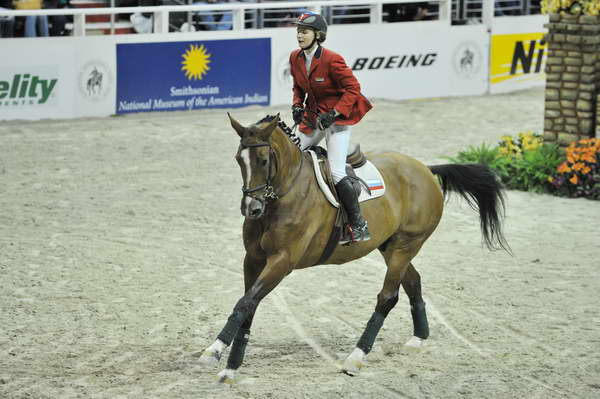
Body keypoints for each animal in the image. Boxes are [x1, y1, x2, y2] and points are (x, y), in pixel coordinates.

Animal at [199, 114, 508, 382]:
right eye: (239, 160)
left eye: (263, 161)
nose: (252, 208)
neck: (285, 192)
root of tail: (425, 170)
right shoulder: (252, 259)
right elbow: (247, 304)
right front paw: (225, 359)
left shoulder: (282, 261)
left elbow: (246, 302)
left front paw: (218, 356)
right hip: (391, 247)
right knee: (413, 282)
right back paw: (418, 338)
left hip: (406, 245)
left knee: (387, 297)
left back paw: (356, 358)